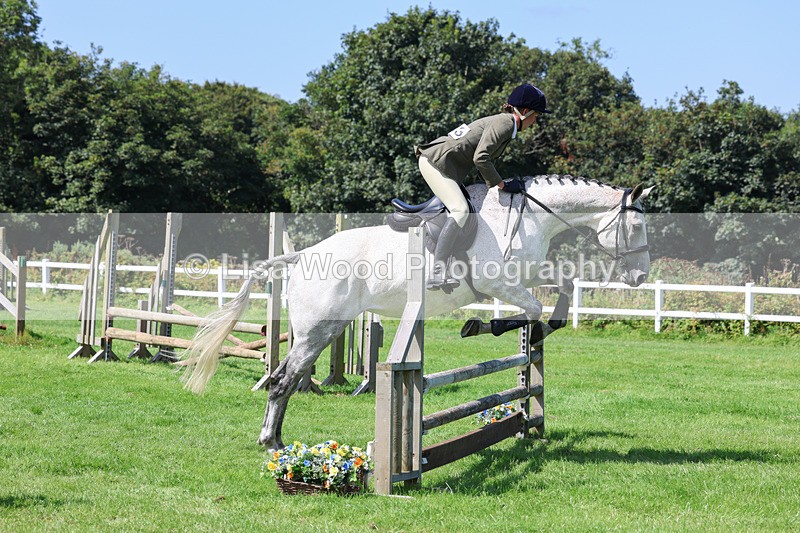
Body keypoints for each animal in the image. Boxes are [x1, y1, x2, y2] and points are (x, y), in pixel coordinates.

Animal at [182, 175, 654, 449]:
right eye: (636, 226)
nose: (641, 277)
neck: (531, 217)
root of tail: (300, 257)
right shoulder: (498, 284)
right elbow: (534, 309)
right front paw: (488, 327)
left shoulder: (529, 274)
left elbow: (565, 288)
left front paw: (523, 335)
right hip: (321, 329)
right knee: (282, 381)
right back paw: (272, 445)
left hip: (320, 333)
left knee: (286, 378)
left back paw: (276, 438)